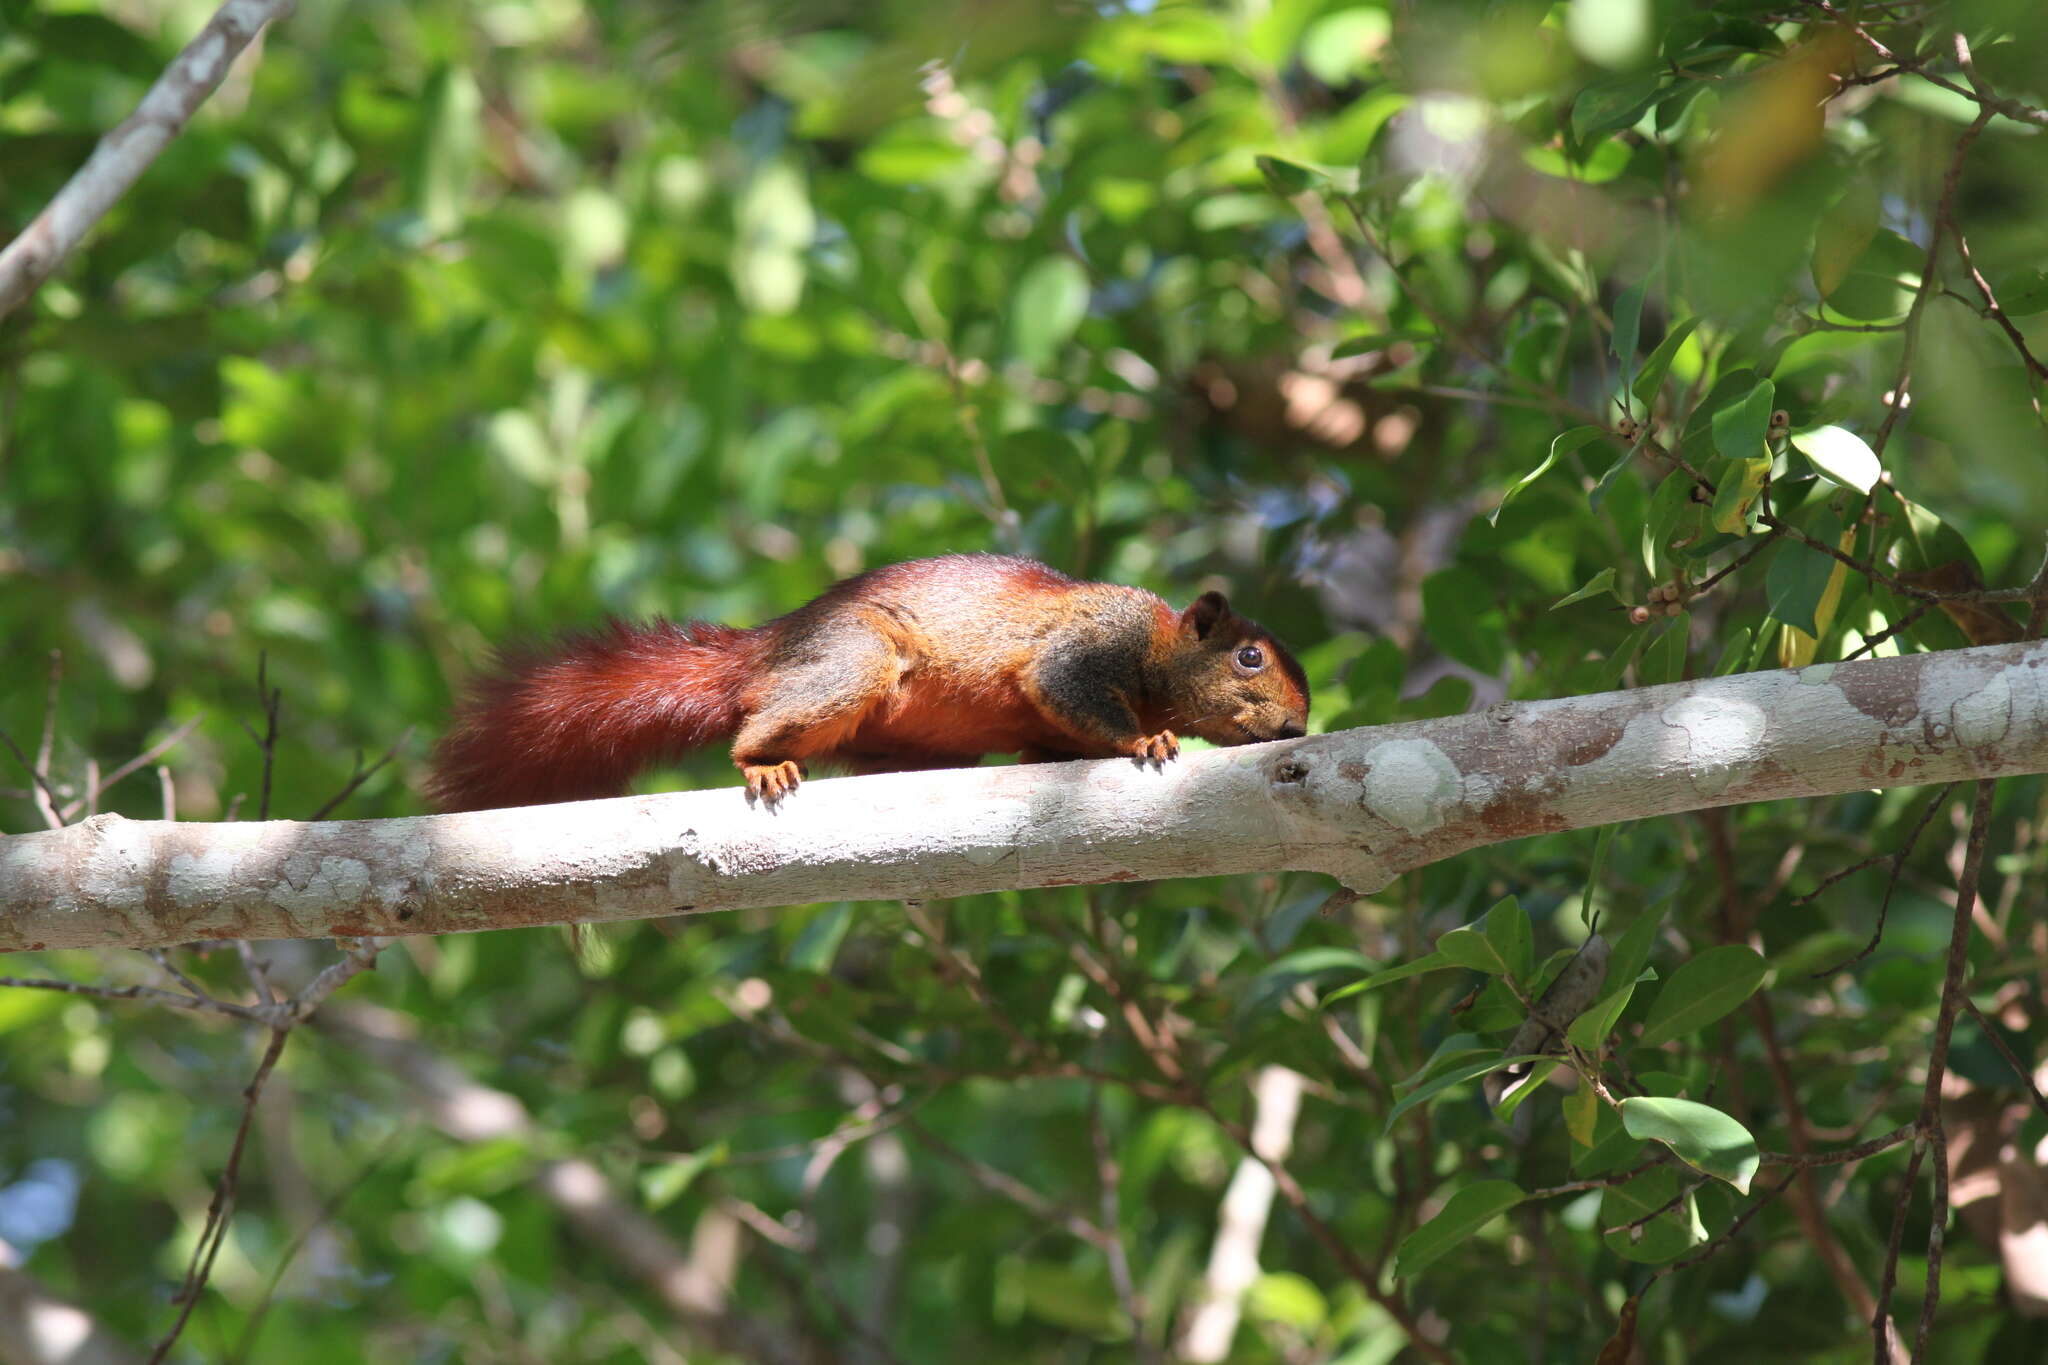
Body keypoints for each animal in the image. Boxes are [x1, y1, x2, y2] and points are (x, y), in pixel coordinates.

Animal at [430, 552, 1310, 810]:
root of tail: (774, 646)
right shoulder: (1088, 645)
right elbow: (1066, 687)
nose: (1299, 728)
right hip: (852, 662)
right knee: (754, 725)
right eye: (1250, 658)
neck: (1159, 652)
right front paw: (1146, 736)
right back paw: (761, 762)